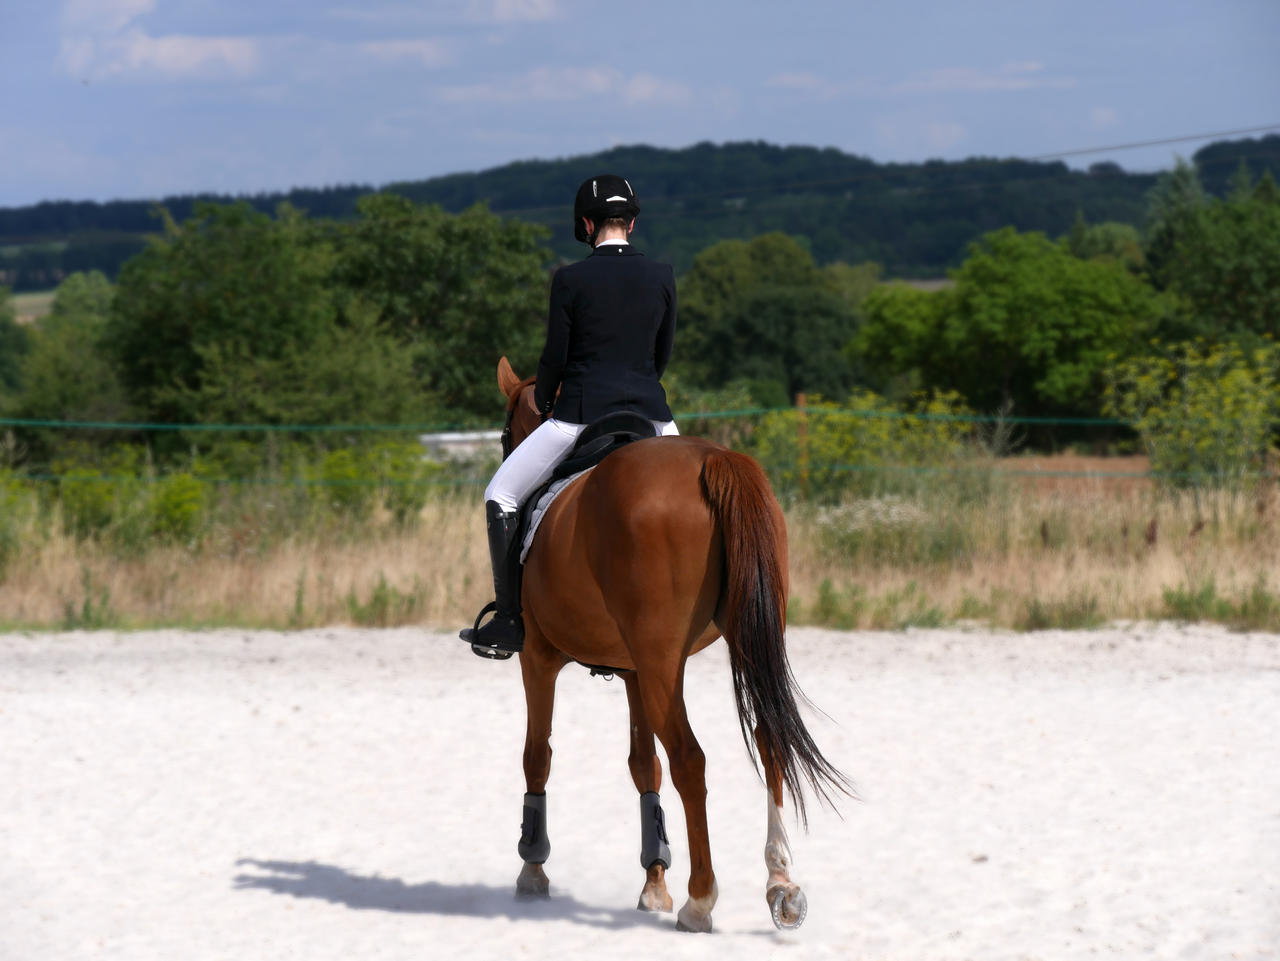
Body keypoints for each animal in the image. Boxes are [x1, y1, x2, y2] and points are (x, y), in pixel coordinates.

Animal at [494, 355, 844, 931]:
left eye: (506, 434)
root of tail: (715, 459)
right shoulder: (633, 668)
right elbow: (642, 764)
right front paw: (652, 882)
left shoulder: (538, 658)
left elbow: (536, 755)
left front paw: (532, 871)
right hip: (734, 642)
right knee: (767, 738)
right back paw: (780, 884)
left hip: (659, 661)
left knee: (689, 758)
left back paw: (700, 900)